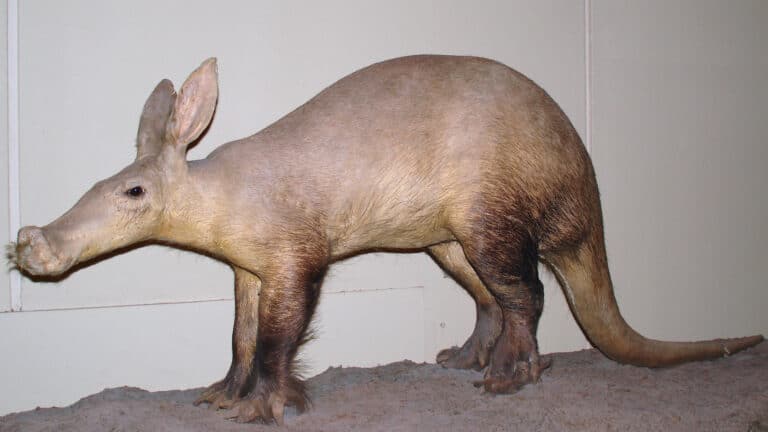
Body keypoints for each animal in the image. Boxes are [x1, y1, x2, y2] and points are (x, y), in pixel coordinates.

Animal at [9, 56, 763, 425]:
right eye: (104, 180)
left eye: (133, 192)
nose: (31, 243)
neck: (221, 193)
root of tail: (582, 179)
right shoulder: (247, 267)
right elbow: (242, 332)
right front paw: (221, 393)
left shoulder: (293, 248)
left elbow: (281, 332)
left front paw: (265, 405)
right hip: (446, 237)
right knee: (488, 295)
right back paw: (463, 357)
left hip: (491, 208)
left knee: (526, 291)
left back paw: (510, 374)